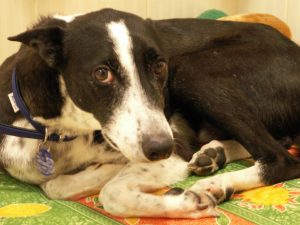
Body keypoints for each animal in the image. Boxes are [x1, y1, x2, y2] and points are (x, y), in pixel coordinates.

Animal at [0, 8, 300, 218]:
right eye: (101, 73)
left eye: (159, 66)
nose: (162, 148)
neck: (60, 128)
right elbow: (54, 186)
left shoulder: (175, 143)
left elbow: (108, 191)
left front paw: (188, 202)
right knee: (279, 141)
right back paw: (213, 155)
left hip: (193, 71)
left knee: (283, 158)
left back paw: (214, 184)